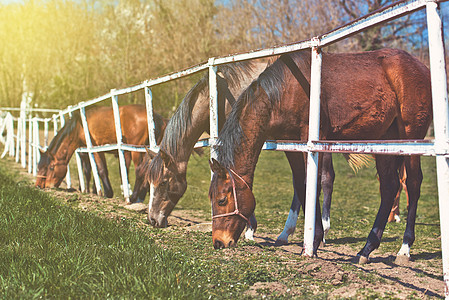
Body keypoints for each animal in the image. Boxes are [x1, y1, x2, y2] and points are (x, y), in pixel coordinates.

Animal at [36, 104, 167, 200]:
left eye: (51, 167)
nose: (39, 185)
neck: (79, 126)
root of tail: (157, 117)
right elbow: (96, 171)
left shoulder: (96, 150)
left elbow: (101, 170)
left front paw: (107, 193)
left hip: (137, 150)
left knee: (140, 170)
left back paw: (134, 197)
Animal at [208, 48, 432, 264]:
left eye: (222, 200)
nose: (218, 241)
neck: (285, 90)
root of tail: (422, 67)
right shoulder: (291, 144)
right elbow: (301, 186)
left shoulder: (312, 139)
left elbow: (312, 185)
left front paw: (314, 242)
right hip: (386, 140)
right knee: (389, 187)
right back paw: (367, 248)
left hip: (411, 137)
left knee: (413, 183)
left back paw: (405, 248)